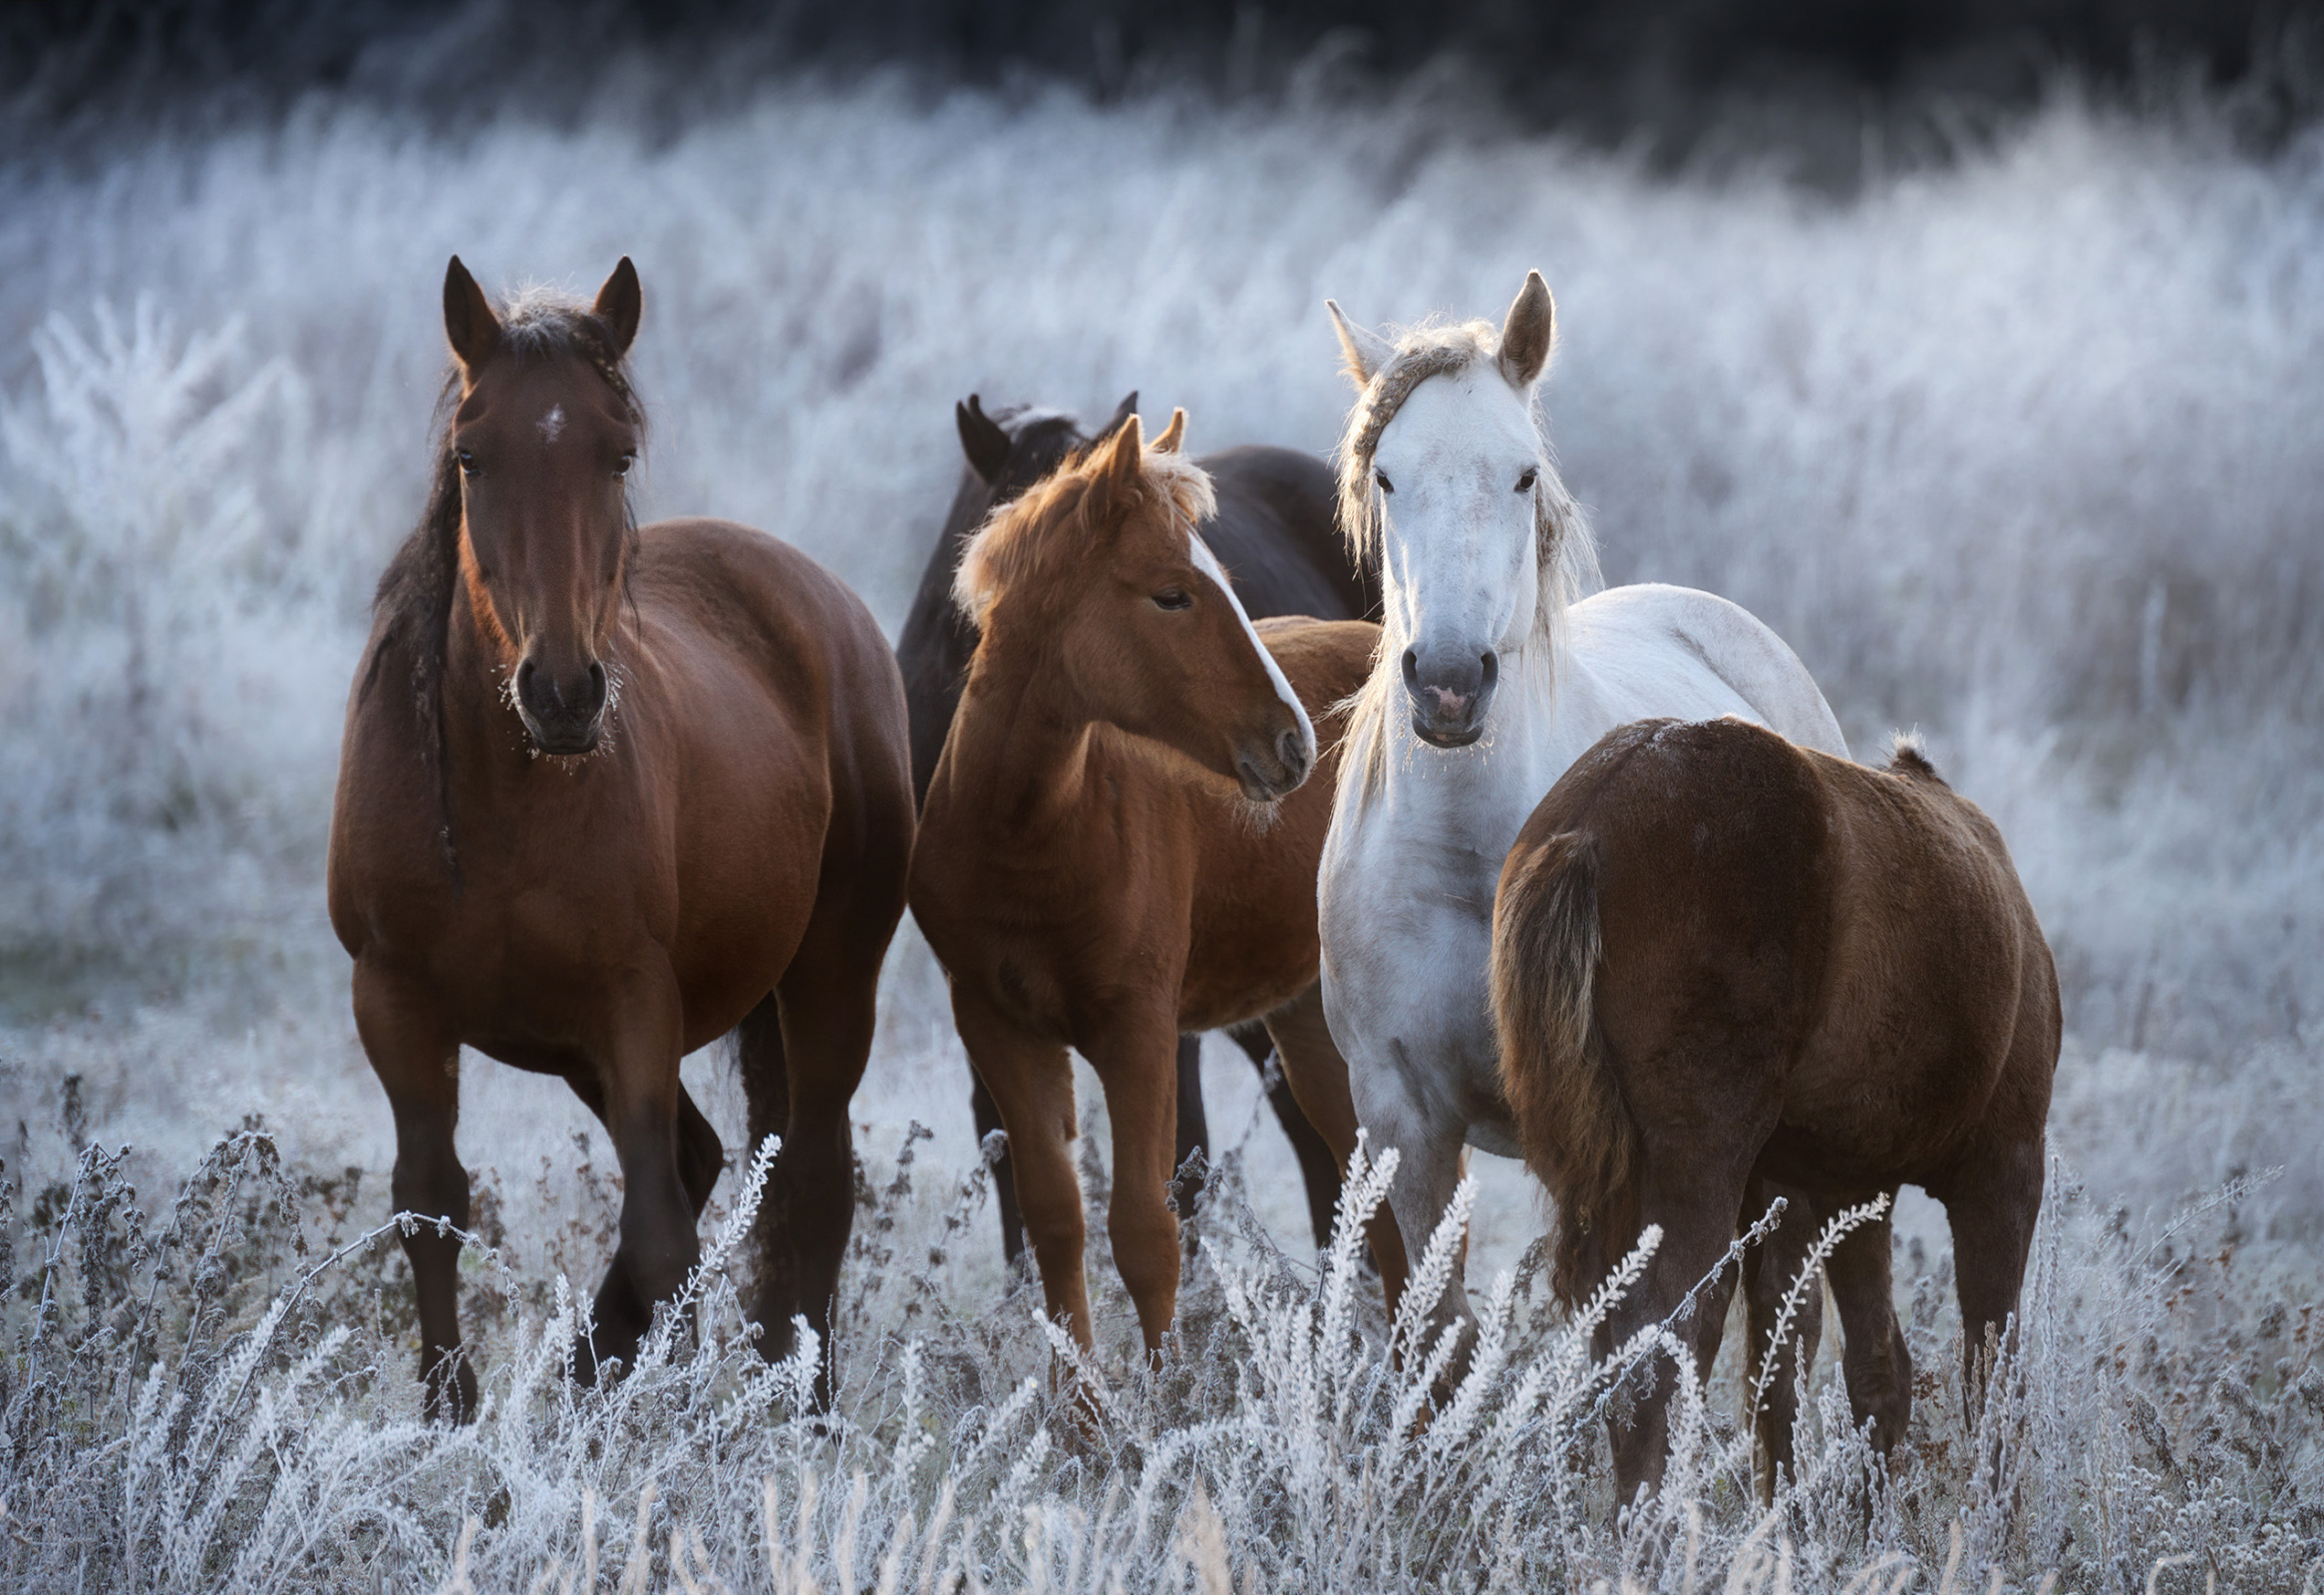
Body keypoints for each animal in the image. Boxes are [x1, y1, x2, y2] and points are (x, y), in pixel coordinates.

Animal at [327, 255, 906, 1423]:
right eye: (472, 453)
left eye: (619, 451)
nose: (562, 692)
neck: (504, 801)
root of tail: (823, 601)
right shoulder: (394, 1003)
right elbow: (431, 1204)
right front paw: (450, 1418)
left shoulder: (634, 1003)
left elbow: (659, 1239)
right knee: (705, 1156)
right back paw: (594, 1377)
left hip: (830, 974)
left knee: (812, 1179)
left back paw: (805, 1411)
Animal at [906, 411, 1385, 1358]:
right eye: (1171, 595)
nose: (1294, 745)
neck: (1027, 832)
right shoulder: (998, 1025)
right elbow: (1056, 1220)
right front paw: (1076, 1397)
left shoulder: (1141, 1030)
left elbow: (1145, 1230)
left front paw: (1164, 1393)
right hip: (1308, 1019)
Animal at [1329, 271, 1849, 1348]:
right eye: (1386, 477)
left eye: (1523, 476)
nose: (1449, 683)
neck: (1467, 862)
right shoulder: (1404, 1118)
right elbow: (1441, 1331)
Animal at [1487, 721, 2054, 1506]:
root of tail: (1583, 830)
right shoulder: (2003, 1170)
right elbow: (1992, 1379)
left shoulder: (1833, 1186)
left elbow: (1844, 1367)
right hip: (1700, 1165)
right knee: (1658, 1341)